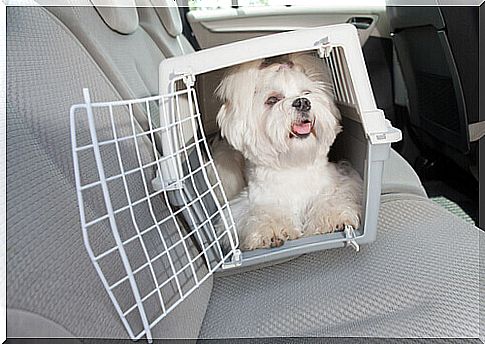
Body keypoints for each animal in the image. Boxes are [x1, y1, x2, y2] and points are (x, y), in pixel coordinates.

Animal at [214, 51, 362, 250]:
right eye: (272, 100)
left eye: (306, 93)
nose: (303, 102)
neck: (294, 164)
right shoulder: (253, 201)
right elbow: (264, 213)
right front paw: (272, 231)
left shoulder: (337, 182)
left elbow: (331, 198)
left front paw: (331, 217)